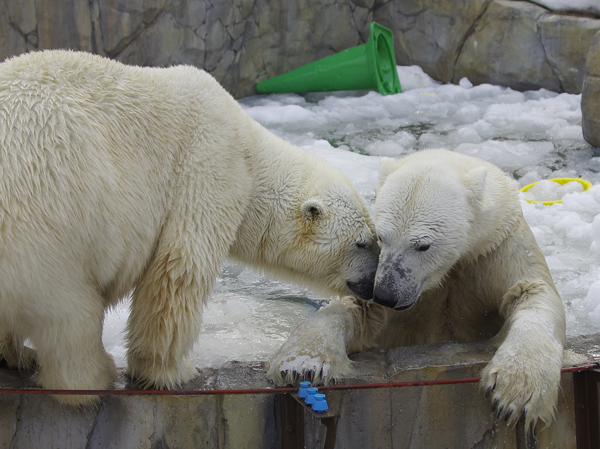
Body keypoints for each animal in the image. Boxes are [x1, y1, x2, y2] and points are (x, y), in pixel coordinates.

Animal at [0, 50, 378, 406]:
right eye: (362, 243)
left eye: (375, 240)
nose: (374, 286)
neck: (250, 153)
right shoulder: (210, 166)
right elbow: (179, 269)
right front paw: (169, 371)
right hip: (47, 226)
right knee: (69, 315)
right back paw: (92, 375)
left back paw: (19, 354)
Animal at [268, 150, 568, 428]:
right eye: (381, 237)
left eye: (423, 245)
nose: (386, 294)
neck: (451, 269)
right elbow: (356, 310)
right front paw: (302, 365)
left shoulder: (496, 249)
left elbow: (532, 291)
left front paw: (516, 391)